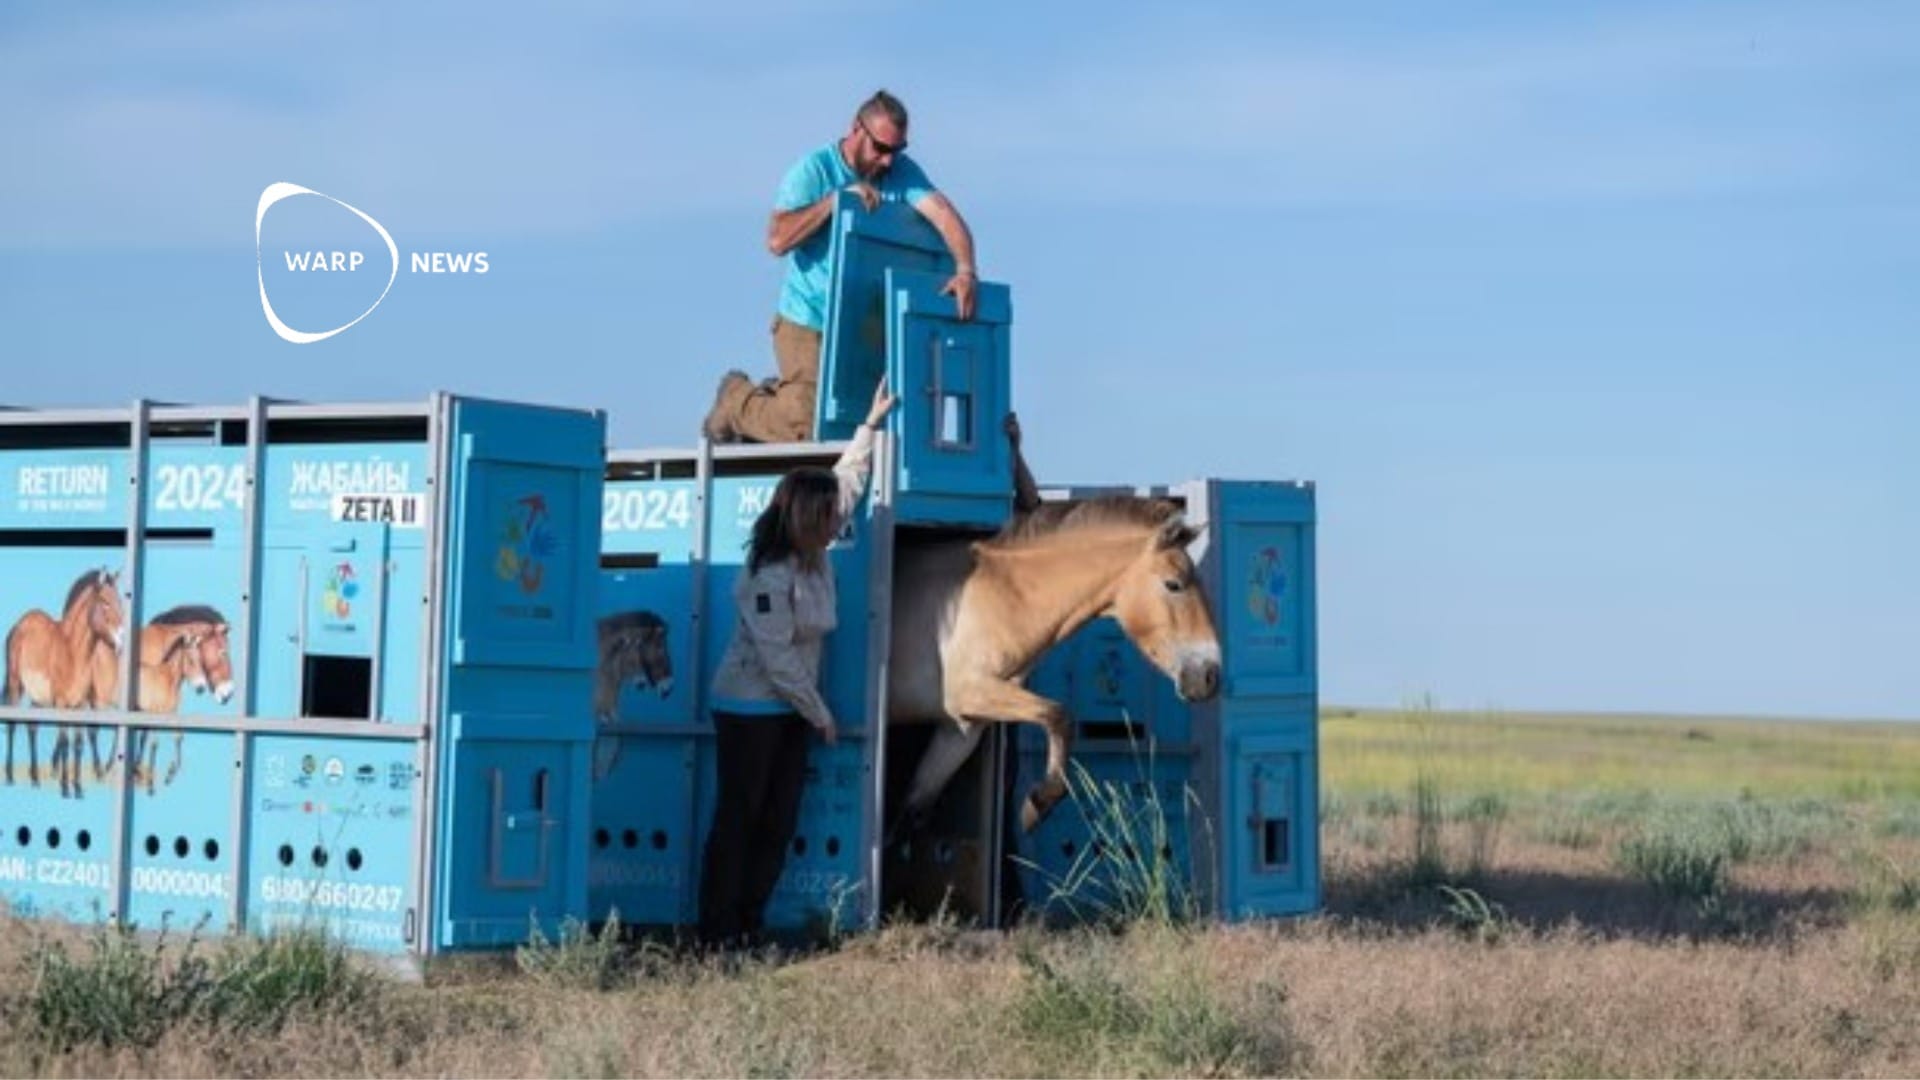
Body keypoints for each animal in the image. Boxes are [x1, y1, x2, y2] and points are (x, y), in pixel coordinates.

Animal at [3, 568, 125, 797]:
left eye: (120, 602)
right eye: (105, 602)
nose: (121, 643)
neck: (73, 652)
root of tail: (22, 623)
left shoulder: (80, 705)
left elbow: (78, 743)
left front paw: (77, 788)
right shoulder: (61, 704)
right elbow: (65, 742)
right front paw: (66, 788)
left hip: (38, 696)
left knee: (32, 727)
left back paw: (35, 779)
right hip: (16, 684)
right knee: (12, 724)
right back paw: (9, 777)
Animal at [884, 495, 1222, 837]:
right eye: (1173, 585)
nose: (1209, 676)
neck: (1004, 596)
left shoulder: (960, 727)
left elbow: (911, 811)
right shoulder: (971, 691)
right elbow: (1060, 716)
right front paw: (1038, 805)